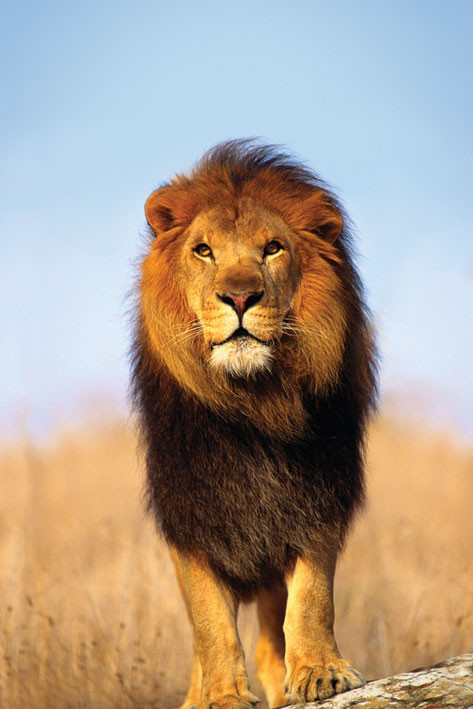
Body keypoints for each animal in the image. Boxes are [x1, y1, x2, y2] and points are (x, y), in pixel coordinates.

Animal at [132, 140, 377, 709]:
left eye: (273, 249)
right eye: (203, 251)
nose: (240, 297)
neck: (254, 403)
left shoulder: (316, 494)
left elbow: (312, 598)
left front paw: (320, 672)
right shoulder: (192, 512)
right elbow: (210, 623)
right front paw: (220, 696)